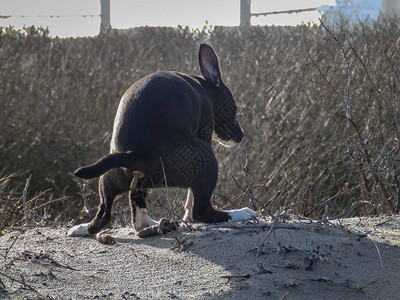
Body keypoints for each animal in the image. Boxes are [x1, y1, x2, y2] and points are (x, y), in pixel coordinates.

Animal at [68, 44, 256, 237]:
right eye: (233, 109)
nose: (241, 135)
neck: (203, 85)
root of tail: (137, 154)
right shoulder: (204, 132)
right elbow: (191, 200)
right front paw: (189, 216)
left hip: (111, 177)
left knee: (110, 216)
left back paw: (84, 228)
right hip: (207, 162)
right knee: (201, 210)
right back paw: (240, 213)